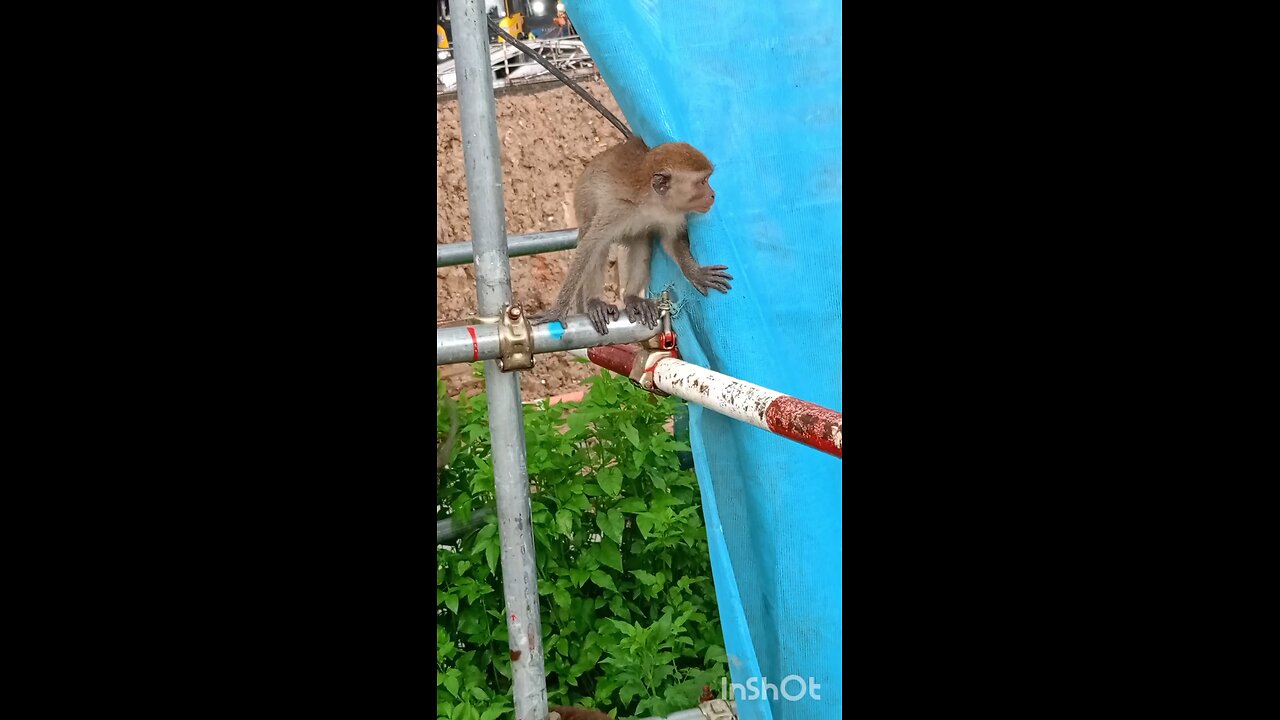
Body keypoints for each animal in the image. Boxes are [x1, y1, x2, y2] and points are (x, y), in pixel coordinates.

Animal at [530, 136, 733, 334]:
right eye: (702, 181)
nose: (713, 195)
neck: (653, 203)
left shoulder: (672, 215)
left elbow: (671, 240)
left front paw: (695, 273)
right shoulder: (619, 209)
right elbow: (591, 245)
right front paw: (557, 311)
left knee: (642, 241)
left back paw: (632, 298)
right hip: (584, 205)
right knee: (597, 246)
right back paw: (595, 302)